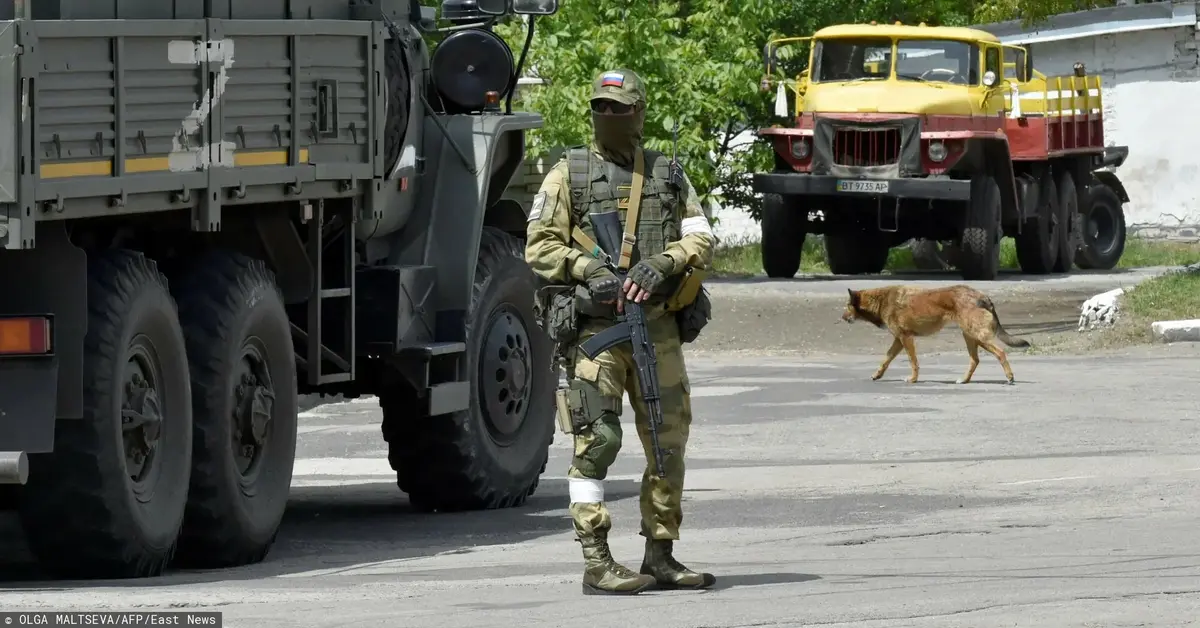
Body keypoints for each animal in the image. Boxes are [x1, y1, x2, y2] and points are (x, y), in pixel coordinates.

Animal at [844, 283, 1032, 384]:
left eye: (847, 306)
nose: (842, 317)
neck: (881, 300)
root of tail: (983, 296)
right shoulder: (898, 340)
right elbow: (886, 359)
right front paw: (877, 374)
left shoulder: (905, 338)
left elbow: (913, 362)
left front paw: (913, 379)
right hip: (970, 336)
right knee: (975, 360)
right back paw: (964, 380)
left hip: (978, 336)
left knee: (1000, 353)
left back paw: (1009, 377)